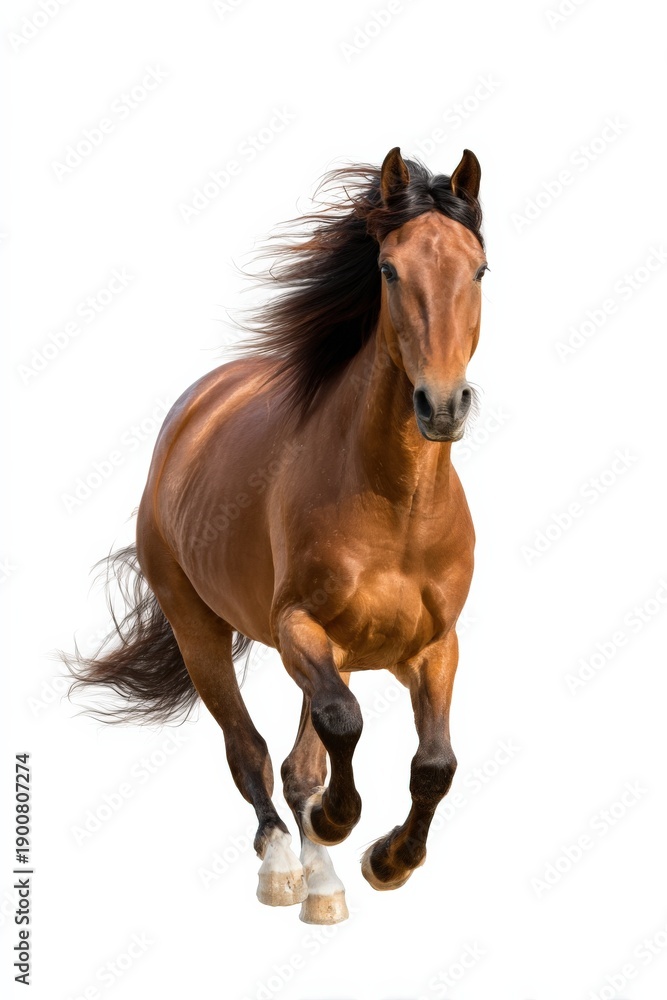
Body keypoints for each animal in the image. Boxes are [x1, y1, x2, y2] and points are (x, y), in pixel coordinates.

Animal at [68, 146, 487, 925]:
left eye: (478, 269)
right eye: (389, 271)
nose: (441, 407)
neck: (398, 507)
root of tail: (197, 408)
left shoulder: (433, 645)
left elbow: (434, 764)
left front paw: (388, 861)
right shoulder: (298, 627)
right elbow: (341, 723)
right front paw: (338, 823)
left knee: (299, 762)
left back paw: (324, 886)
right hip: (199, 629)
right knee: (252, 752)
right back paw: (285, 870)